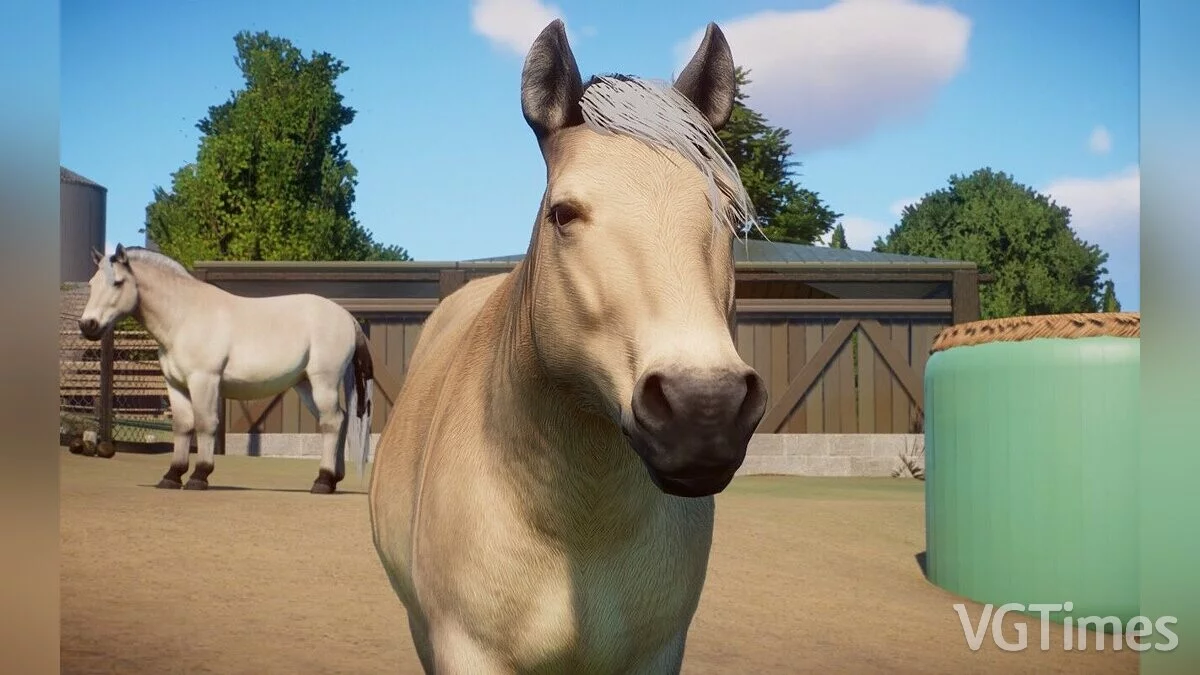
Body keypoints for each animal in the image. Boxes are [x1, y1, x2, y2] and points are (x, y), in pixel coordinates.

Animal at [77, 244, 375, 494]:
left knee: (331, 422)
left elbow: (205, 424)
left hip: (323, 381)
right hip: (305, 385)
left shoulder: (204, 380)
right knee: (340, 420)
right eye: (91, 284)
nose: (88, 325)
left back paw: (323, 481)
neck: (184, 316)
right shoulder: (176, 385)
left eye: (118, 282)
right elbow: (183, 426)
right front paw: (172, 476)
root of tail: (347, 317)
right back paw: (333, 479)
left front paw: (199, 476)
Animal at [368, 20, 768, 673]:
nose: (703, 408)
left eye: (732, 216)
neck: (580, 531)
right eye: (563, 214)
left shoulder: (658, 653)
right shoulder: (464, 649)